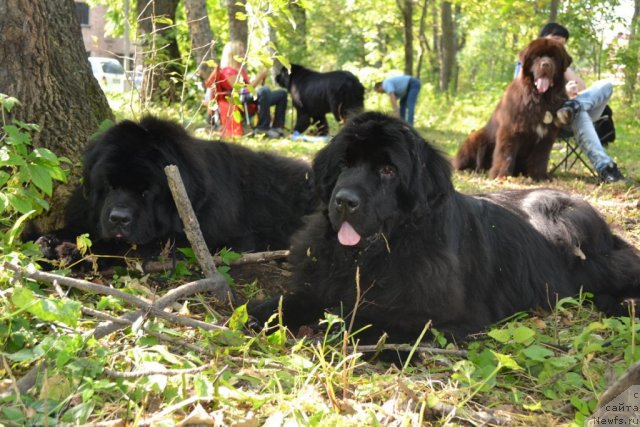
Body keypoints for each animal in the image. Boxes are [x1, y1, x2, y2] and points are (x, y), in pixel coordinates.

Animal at [38, 117, 318, 264]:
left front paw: (72, 250)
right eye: (109, 186)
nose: (118, 218)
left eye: (146, 192)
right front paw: (46, 239)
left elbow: (127, 248)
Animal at [250, 113, 640, 344]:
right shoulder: (322, 280)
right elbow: (297, 299)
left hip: (564, 228)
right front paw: (260, 314)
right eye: (343, 164)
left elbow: (364, 320)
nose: (344, 201)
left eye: (388, 171)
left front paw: (327, 329)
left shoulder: (438, 316)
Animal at [452, 38, 572, 181]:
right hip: (475, 137)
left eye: (554, 57)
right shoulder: (510, 129)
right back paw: (468, 170)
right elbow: (506, 154)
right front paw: (501, 175)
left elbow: (540, 158)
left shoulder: (546, 136)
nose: (546, 64)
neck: (540, 99)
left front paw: (539, 176)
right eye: (537, 57)